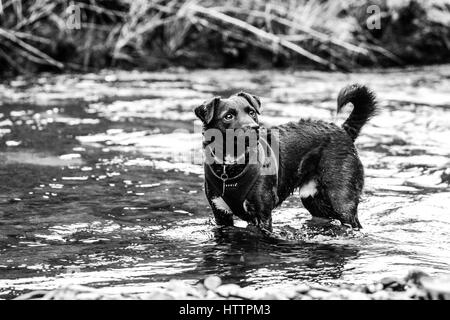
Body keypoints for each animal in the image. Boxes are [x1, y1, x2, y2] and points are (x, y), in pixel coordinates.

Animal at [194, 84, 376, 231]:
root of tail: (343, 130)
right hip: (313, 199)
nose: (254, 127)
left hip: (342, 200)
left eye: (251, 112)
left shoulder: (262, 214)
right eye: (228, 116)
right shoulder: (221, 215)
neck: (231, 167)